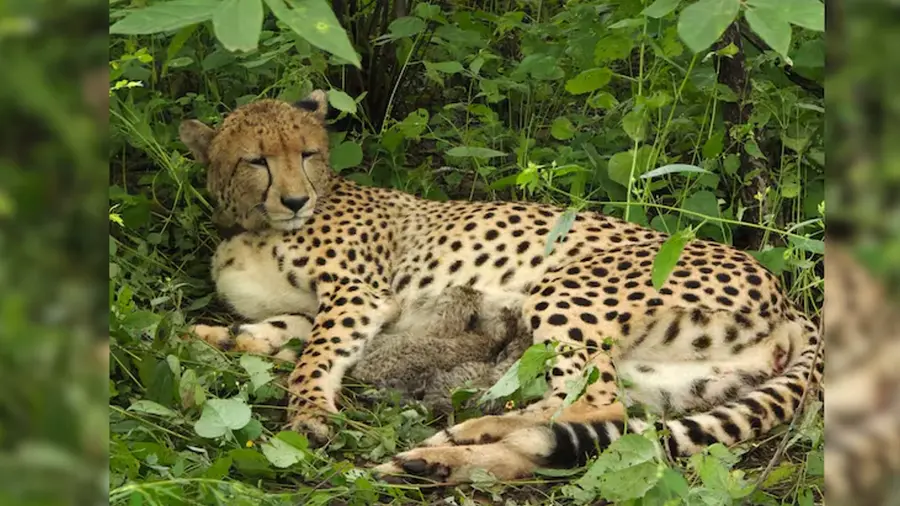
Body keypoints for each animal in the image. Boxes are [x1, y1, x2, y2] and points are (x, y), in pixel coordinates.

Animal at [178, 90, 824, 485]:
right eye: (256, 160)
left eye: (308, 153)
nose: (294, 200)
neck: (254, 225)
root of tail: (790, 298)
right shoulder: (318, 309)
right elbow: (271, 332)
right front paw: (209, 338)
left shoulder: (358, 296)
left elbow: (312, 358)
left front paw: (308, 412)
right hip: (672, 378)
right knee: (582, 422)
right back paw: (443, 456)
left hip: (567, 287)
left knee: (594, 402)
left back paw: (455, 440)